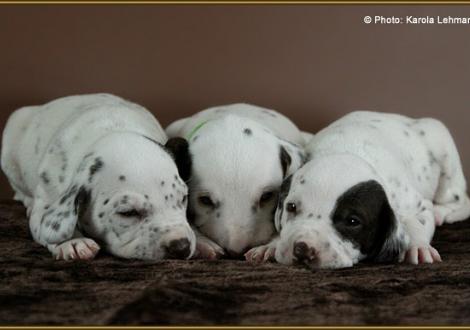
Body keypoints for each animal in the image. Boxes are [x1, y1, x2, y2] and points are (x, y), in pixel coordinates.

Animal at [0, 93, 196, 260]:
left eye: (183, 198)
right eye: (128, 213)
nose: (181, 247)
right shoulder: (46, 203)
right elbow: (49, 225)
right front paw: (72, 242)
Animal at [246, 111, 470, 268]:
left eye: (353, 221)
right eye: (291, 207)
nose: (302, 249)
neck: (349, 152)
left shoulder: (418, 205)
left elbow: (417, 223)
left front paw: (418, 246)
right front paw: (271, 245)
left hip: (443, 148)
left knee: (459, 199)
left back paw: (442, 212)